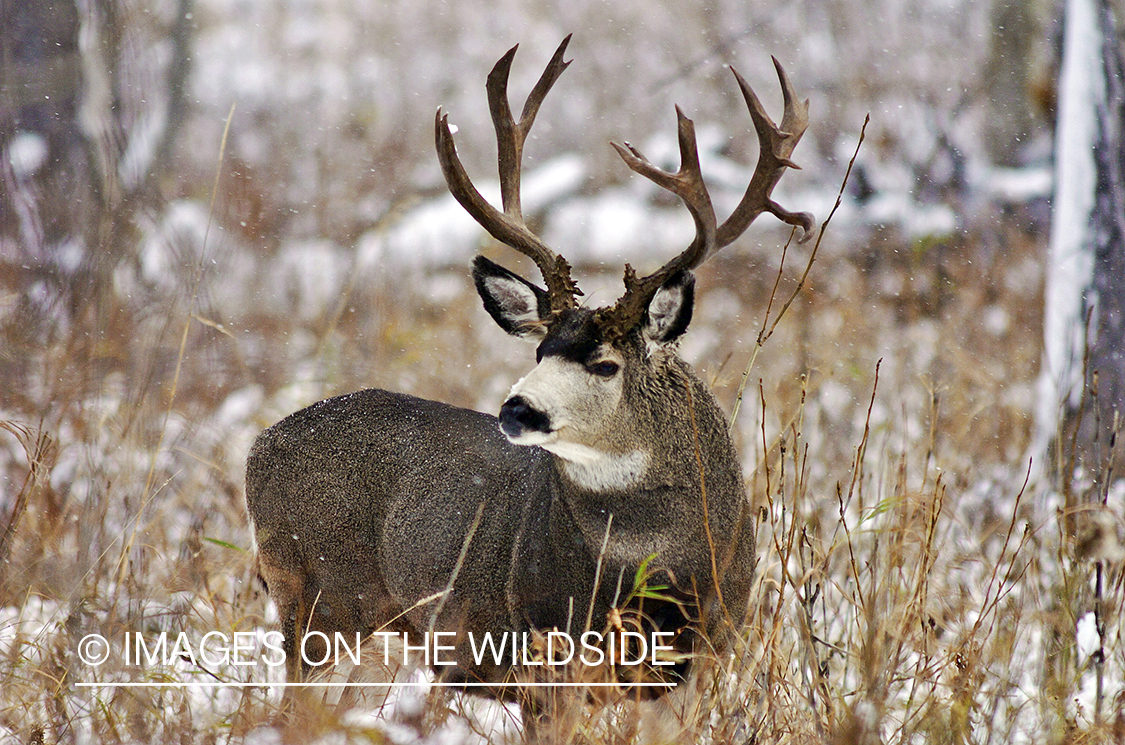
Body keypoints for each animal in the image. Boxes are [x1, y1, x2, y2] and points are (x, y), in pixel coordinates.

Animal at [245, 34, 811, 723]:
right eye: (541, 351)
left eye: (605, 363)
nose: (516, 409)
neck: (654, 575)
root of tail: (259, 445)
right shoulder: (543, 658)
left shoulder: (698, 663)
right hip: (315, 599)